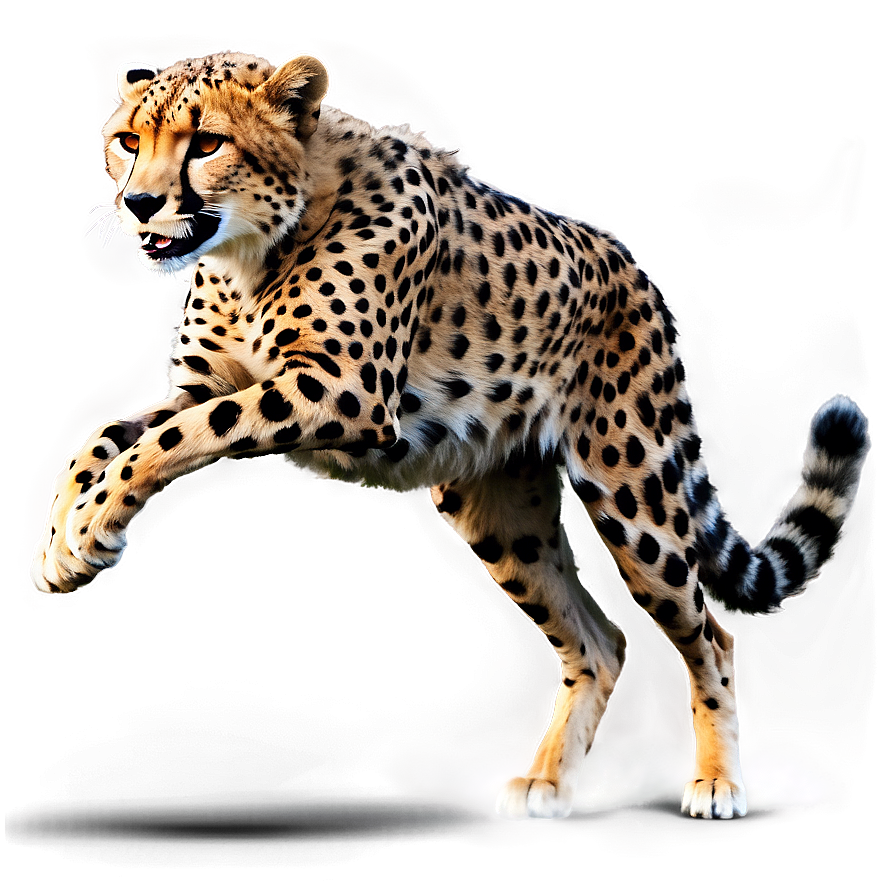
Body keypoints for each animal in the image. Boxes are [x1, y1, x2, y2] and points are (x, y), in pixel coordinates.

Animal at [31, 51, 869, 820]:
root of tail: (631, 263)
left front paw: (92, 524)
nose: (139, 203)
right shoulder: (209, 385)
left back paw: (719, 782)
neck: (250, 250)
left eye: (206, 143)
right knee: (600, 645)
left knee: (709, 638)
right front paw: (61, 544)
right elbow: (107, 436)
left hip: (638, 500)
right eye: (128, 140)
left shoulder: (341, 389)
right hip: (501, 516)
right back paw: (548, 784)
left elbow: (170, 442)